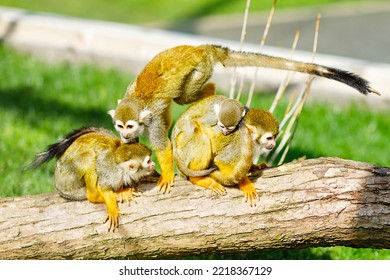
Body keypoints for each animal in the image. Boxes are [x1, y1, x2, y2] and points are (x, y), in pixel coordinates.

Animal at [108, 45, 380, 195]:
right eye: (119, 127)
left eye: (129, 126)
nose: (124, 133)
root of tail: (202, 48)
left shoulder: (151, 120)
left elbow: (162, 144)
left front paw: (165, 175)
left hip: (198, 70)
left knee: (186, 98)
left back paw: (209, 93)